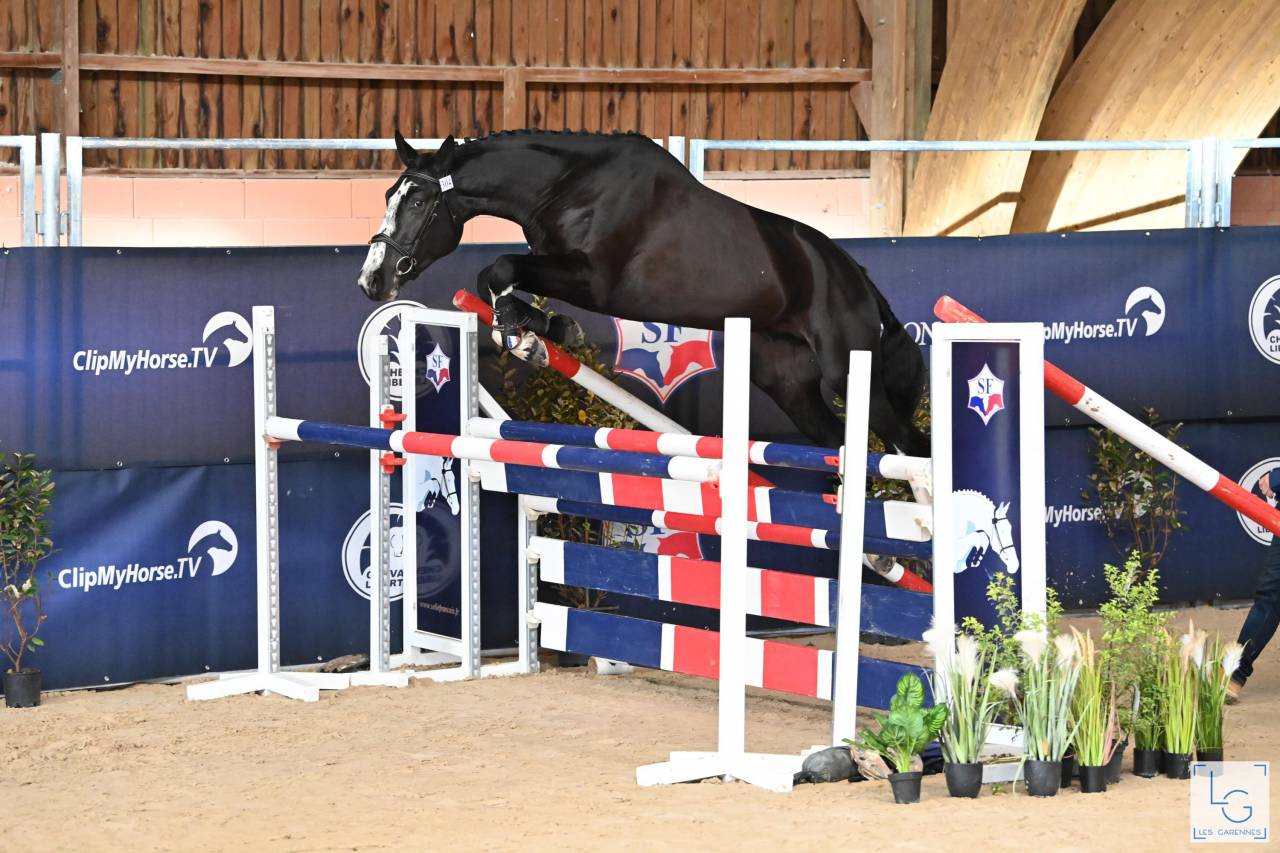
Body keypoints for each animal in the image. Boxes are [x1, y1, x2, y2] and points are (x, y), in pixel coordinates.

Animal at [357, 130, 928, 454]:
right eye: (387, 196)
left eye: (418, 202)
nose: (372, 280)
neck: (570, 184)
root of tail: (854, 273)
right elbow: (493, 276)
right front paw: (542, 331)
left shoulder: (594, 280)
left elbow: (498, 267)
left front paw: (529, 334)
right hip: (787, 383)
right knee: (838, 443)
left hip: (849, 369)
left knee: (907, 444)